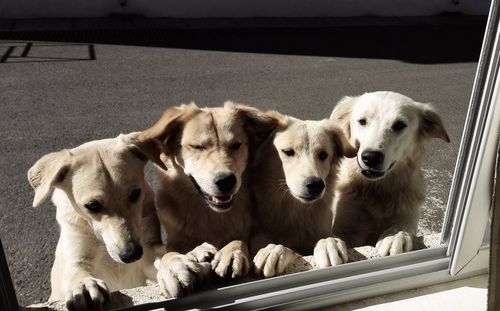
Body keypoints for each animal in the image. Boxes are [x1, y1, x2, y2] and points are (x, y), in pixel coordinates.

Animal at [252, 113, 358, 280]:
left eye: (323, 155)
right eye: (288, 152)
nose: (316, 185)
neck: (296, 213)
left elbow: (325, 238)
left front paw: (329, 244)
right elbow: (289, 248)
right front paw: (273, 249)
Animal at [330, 91, 452, 258]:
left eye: (399, 125)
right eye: (362, 121)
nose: (371, 157)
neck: (378, 191)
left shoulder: (407, 216)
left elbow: (401, 228)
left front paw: (395, 236)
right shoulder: (344, 225)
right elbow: (334, 236)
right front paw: (330, 244)